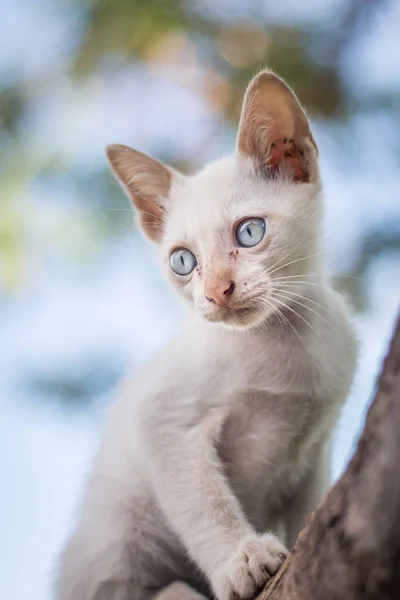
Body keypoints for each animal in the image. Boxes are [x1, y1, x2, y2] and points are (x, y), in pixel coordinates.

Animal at [55, 71, 356, 600]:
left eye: (250, 232)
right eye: (183, 261)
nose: (217, 291)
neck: (284, 345)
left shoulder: (317, 443)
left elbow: (308, 510)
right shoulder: (164, 420)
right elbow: (204, 503)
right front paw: (242, 559)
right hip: (114, 538)